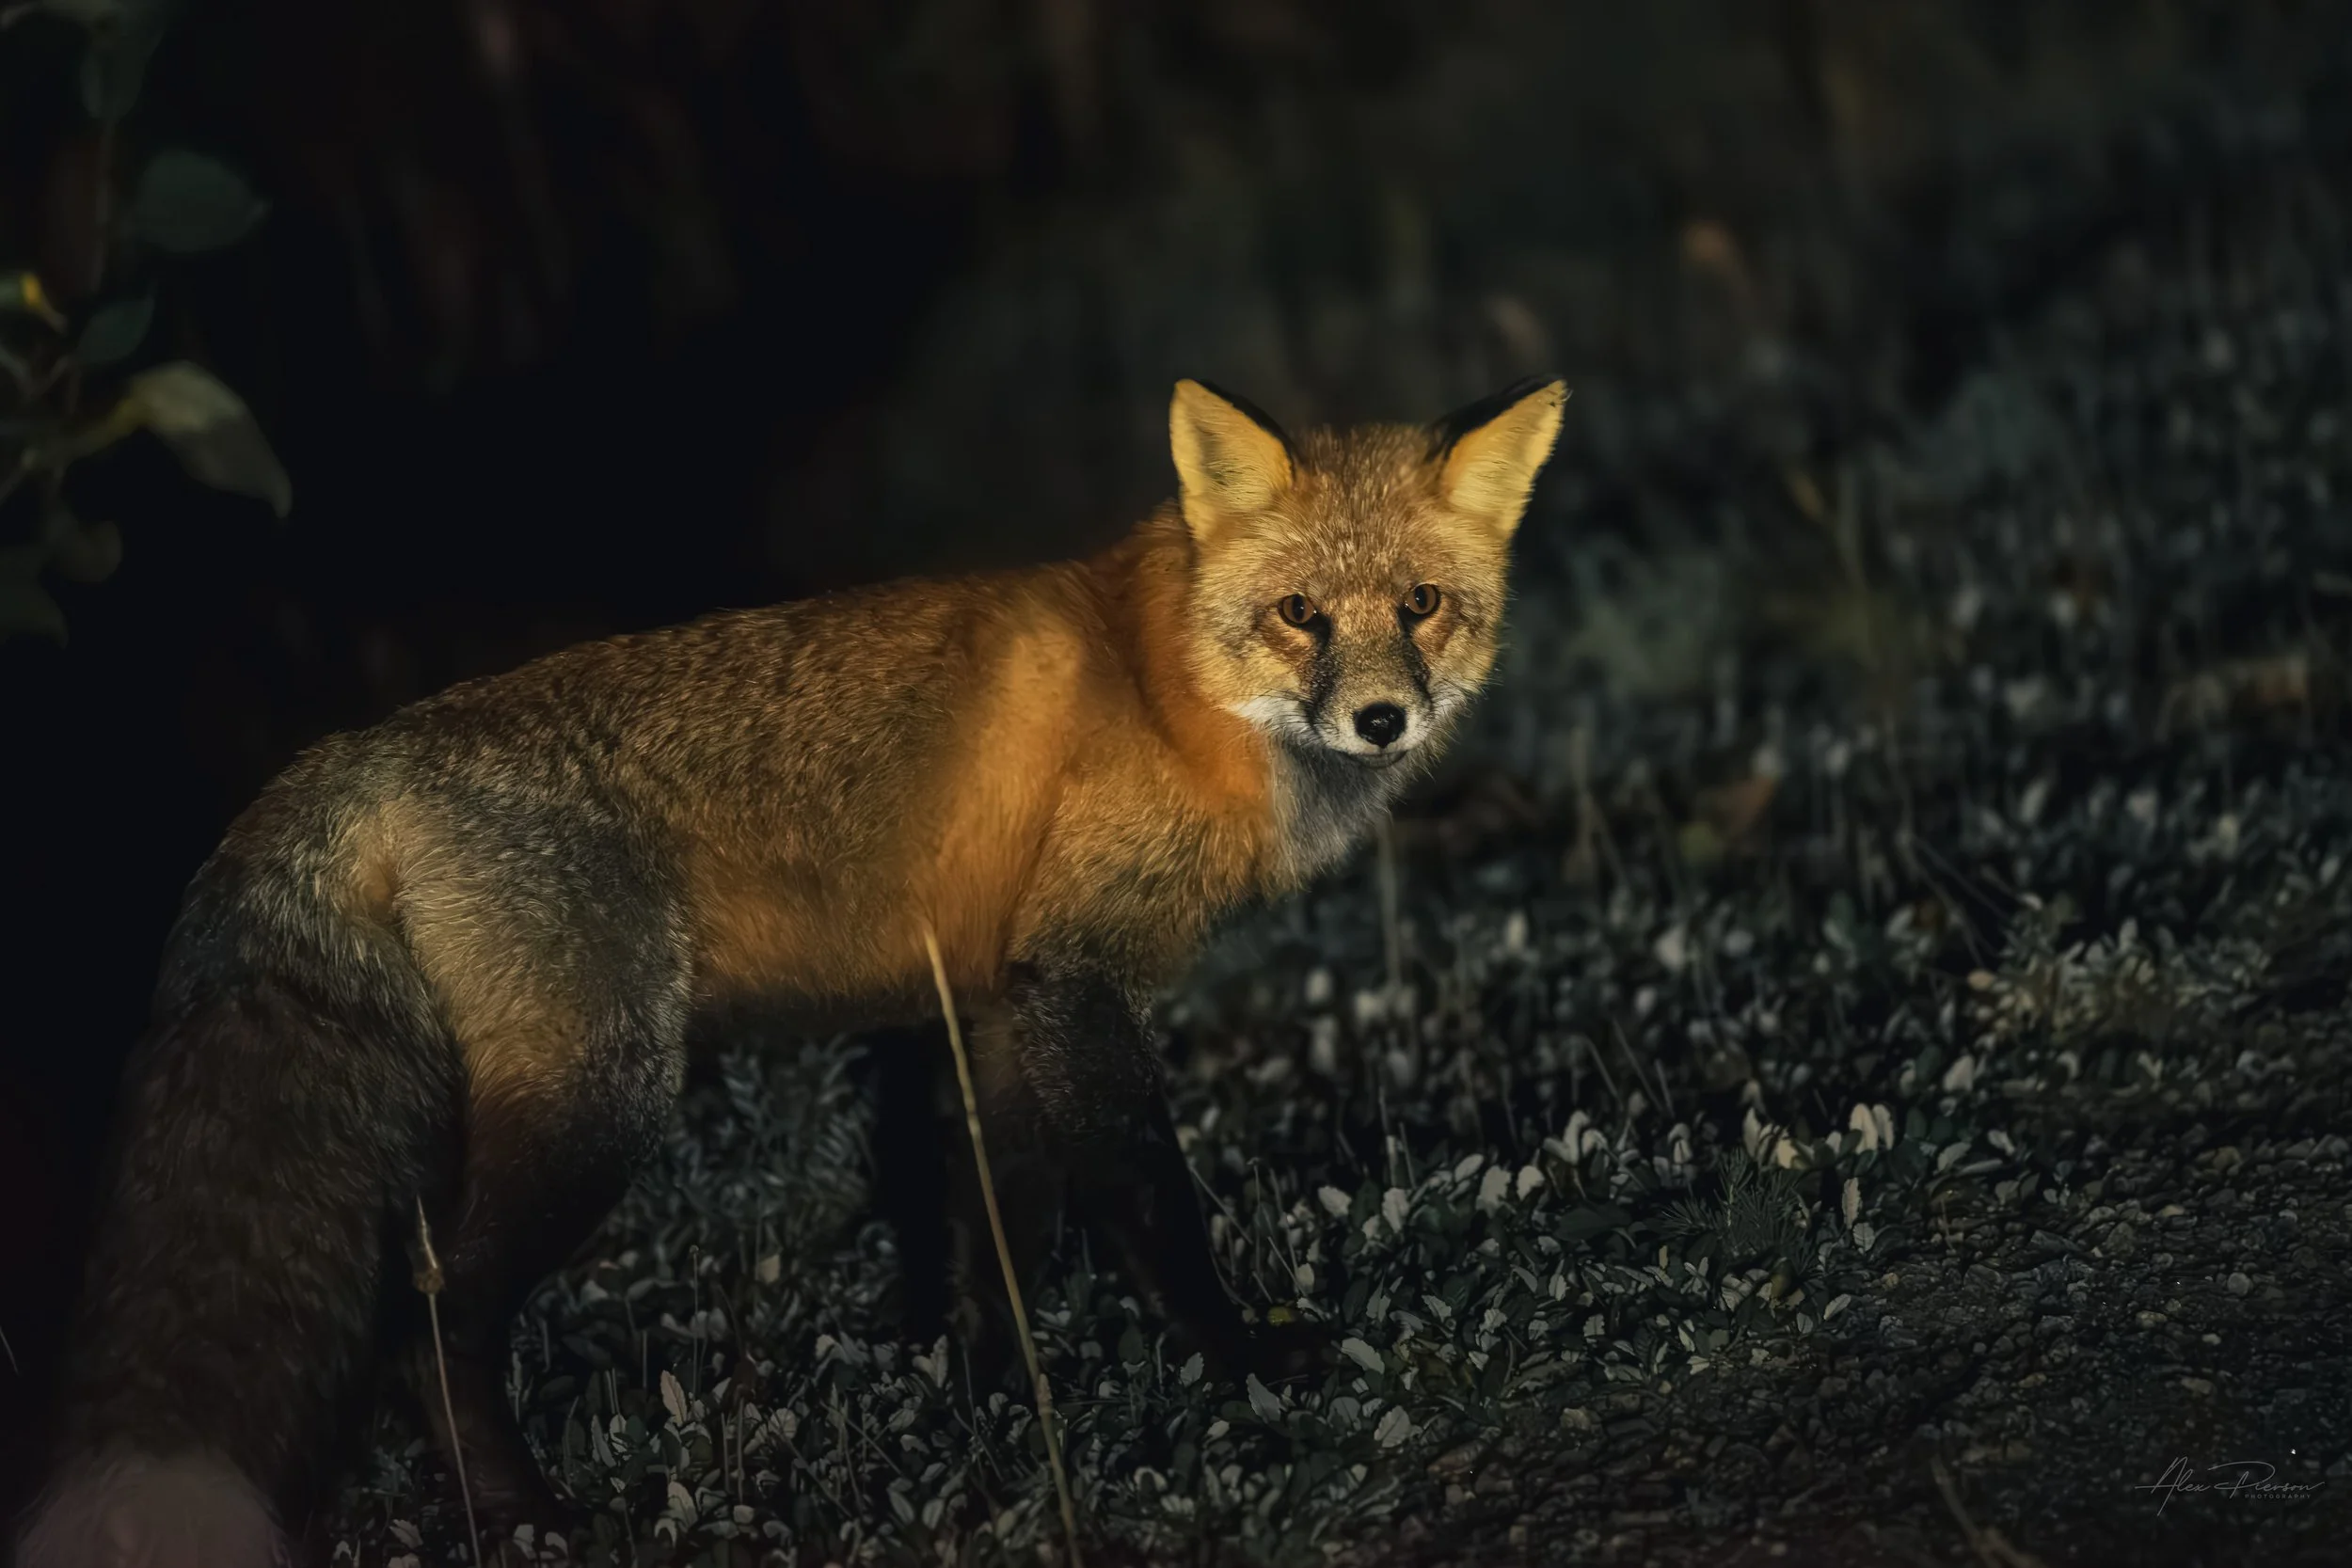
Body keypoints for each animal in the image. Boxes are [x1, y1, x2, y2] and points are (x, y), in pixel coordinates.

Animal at [15, 374, 1565, 1566]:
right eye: (1301, 612)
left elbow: (997, 1224)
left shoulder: (996, 997)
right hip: (605, 1096)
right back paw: (524, 1516)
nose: (1381, 719)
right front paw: (1242, 1360)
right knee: (428, 1314)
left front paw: (998, 1401)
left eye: (1422, 603)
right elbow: (1147, 1203)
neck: (1169, 685)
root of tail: (350, 751)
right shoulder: (1075, 975)